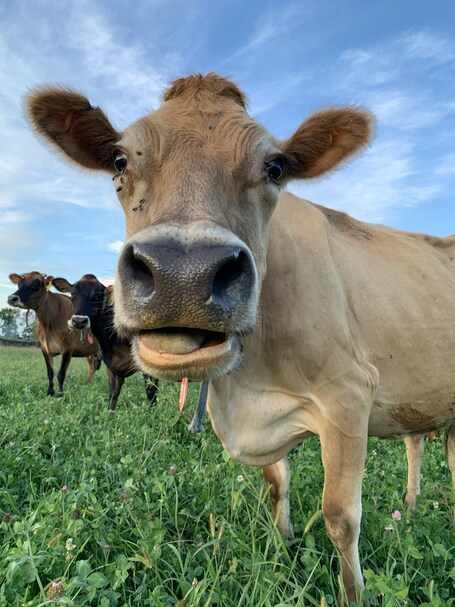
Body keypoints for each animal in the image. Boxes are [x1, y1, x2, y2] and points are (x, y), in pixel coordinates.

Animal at [26, 73, 455, 604]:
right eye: (120, 160)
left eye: (275, 167)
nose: (182, 275)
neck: (245, 388)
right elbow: (277, 486)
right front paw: (285, 552)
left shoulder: (350, 394)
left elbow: (340, 517)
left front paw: (353, 593)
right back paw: (413, 506)